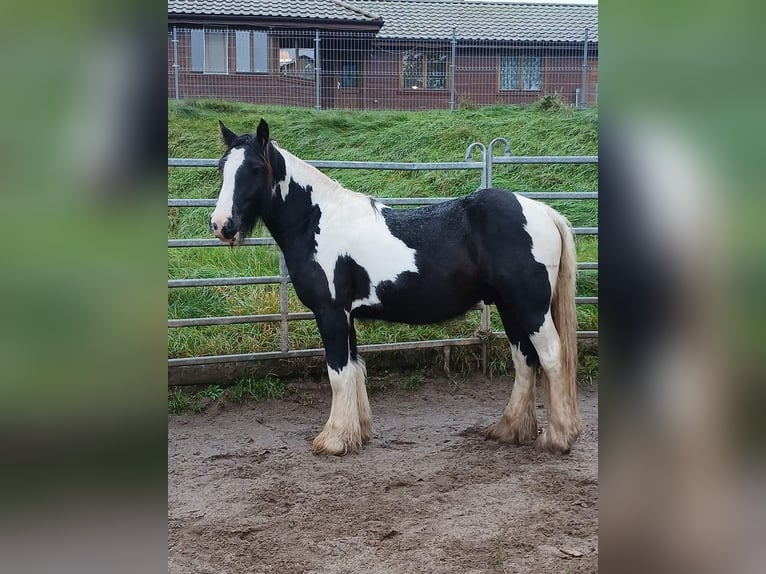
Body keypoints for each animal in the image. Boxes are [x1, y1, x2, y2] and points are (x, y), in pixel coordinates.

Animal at [210, 119, 584, 456]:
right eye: (222, 168)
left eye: (254, 168)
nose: (221, 225)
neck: (317, 220)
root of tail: (543, 212)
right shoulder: (347, 315)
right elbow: (355, 369)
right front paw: (356, 434)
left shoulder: (330, 313)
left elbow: (337, 373)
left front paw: (333, 441)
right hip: (509, 307)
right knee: (524, 359)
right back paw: (510, 429)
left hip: (530, 308)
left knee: (551, 356)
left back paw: (558, 438)